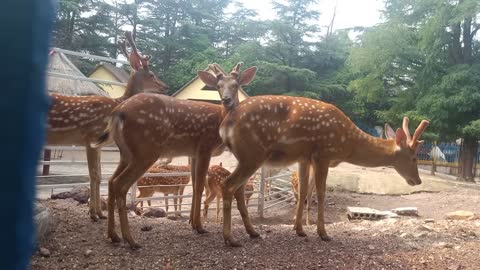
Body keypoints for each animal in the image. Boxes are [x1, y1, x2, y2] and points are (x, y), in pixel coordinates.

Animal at [45, 31, 169, 221]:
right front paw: (94, 214)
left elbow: (99, 175)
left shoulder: (98, 143)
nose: (165, 86)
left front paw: (99, 213)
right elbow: (94, 175)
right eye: (152, 75)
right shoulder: (90, 136)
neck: (115, 106)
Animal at [89, 62, 255, 249]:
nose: (226, 100)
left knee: (111, 182)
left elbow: (195, 185)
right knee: (120, 184)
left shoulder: (193, 152)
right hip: (146, 150)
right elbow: (199, 186)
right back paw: (131, 240)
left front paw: (192, 223)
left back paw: (113, 235)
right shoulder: (205, 146)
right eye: (218, 86)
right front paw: (200, 226)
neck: (220, 118)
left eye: (236, 85)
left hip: (126, 153)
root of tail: (118, 112)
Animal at [193, 63, 430, 247]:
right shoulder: (323, 154)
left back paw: (252, 232)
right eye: (414, 157)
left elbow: (304, 192)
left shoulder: (304, 157)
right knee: (229, 185)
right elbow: (321, 193)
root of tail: (226, 123)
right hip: (253, 153)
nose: (417, 180)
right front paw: (323, 233)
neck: (348, 143)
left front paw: (299, 229)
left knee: (239, 189)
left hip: (246, 156)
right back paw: (230, 238)